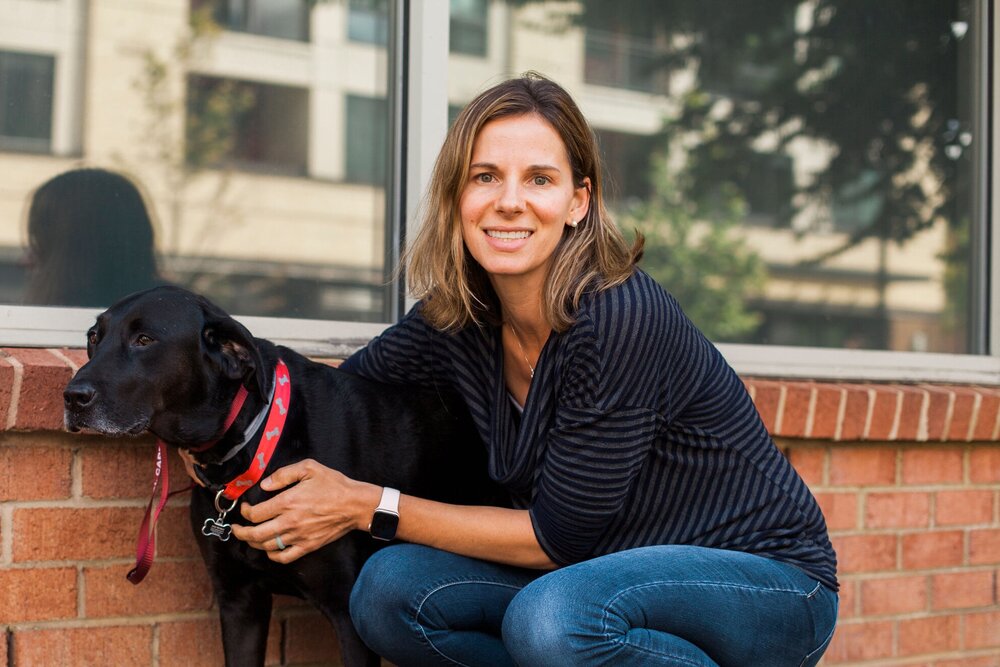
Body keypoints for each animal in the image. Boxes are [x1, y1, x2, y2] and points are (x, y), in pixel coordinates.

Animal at [62, 286, 500, 667]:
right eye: (93, 338)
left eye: (144, 339)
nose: (71, 397)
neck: (251, 446)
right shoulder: (239, 601)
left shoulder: (347, 613)